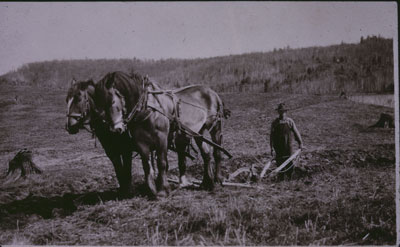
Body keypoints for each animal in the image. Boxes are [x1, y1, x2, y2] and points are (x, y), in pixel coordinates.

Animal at [95, 70, 230, 192]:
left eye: (112, 101)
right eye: (98, 105)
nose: (115, 129)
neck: (146, 108)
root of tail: (212, 92)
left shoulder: (162, 138)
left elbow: (162, 163)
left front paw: (163, 189)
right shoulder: (141, 142)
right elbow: (146, 166)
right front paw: (151, 190)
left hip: (215, 127)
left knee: (217, 152)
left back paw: (218, 179)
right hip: (198, 132)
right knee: (206, 154)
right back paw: (206, 183)